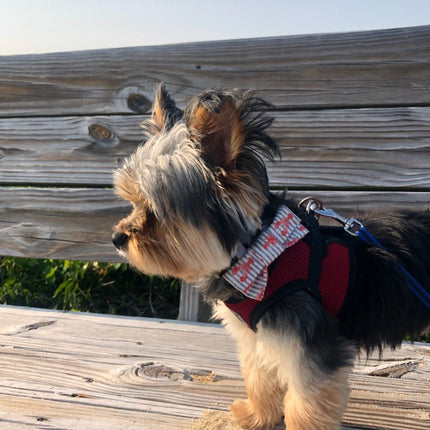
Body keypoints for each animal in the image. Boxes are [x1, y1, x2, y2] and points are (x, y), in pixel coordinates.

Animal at [111, 84, 430, 430]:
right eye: (132, 201)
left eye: (155, 210)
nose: (117, 238)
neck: (261, 254)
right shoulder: (256, 338)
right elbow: (258, 378)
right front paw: (255, 416)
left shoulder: (309, 346)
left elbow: (306, 404)